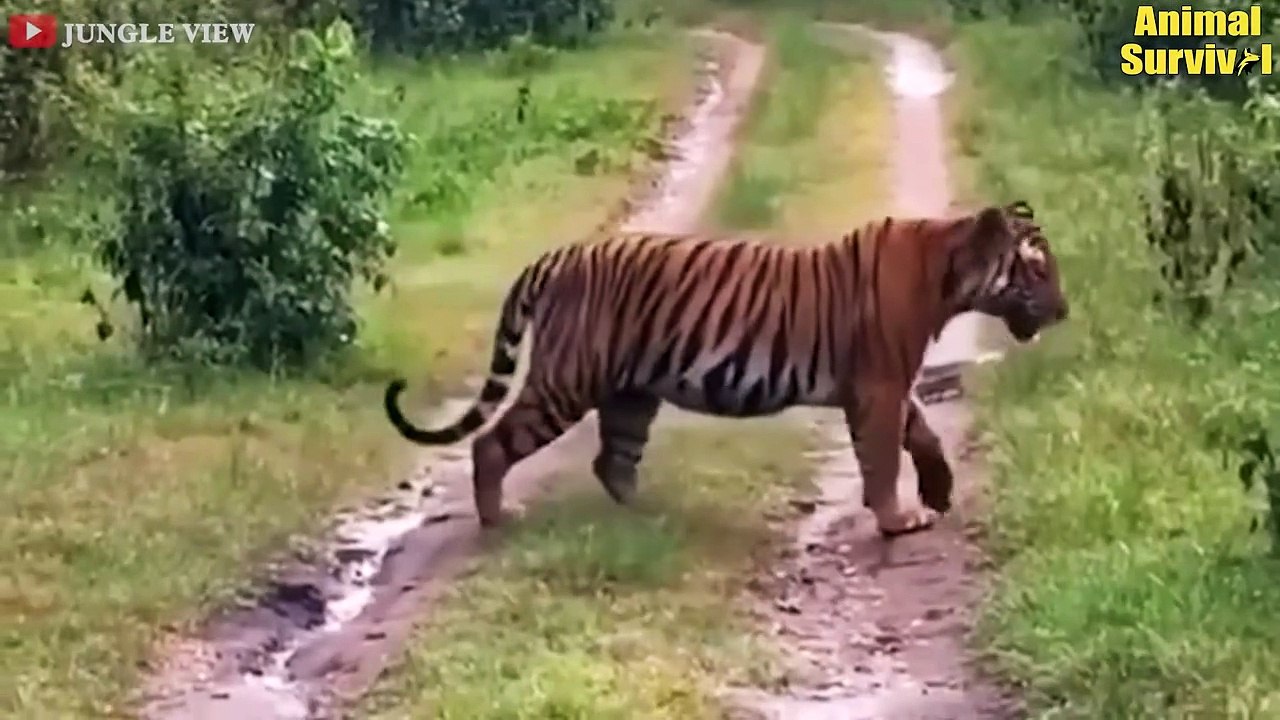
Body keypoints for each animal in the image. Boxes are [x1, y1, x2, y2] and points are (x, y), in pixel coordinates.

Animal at [384, 201, 1068, 537]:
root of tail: (557, 255)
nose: (1064, 309)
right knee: (491, 442)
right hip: (567, 381)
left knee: (612, 461)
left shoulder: (888, 383)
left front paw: (940, 491)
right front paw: (899, 521)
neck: (948, 273)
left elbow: (920, 432)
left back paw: (652, 516)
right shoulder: (878, 386)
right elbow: (881, 458)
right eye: (1037, 269)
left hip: (631, 394)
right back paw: (499, 518)